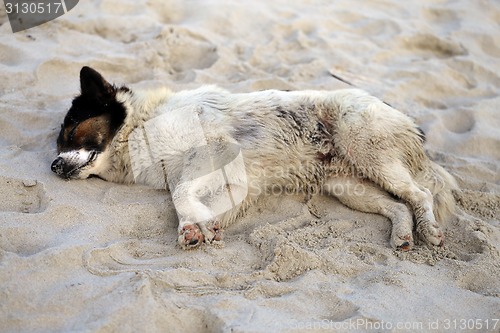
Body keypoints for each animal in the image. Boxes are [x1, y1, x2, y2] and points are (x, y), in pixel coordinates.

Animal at [50, 67, 458, 249]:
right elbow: (194, 202)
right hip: (347, 185)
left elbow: (180, 193)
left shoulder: (216, 150)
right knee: (398, 205)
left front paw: (195, 225)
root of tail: (405, 119)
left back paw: (430, 231)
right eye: (59, 141)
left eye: (70, 130)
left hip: (367, 150)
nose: (52, 167)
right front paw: (198, 226)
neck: (139, 127)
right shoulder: (233, 180)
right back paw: (402, 235)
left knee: (419, 194)